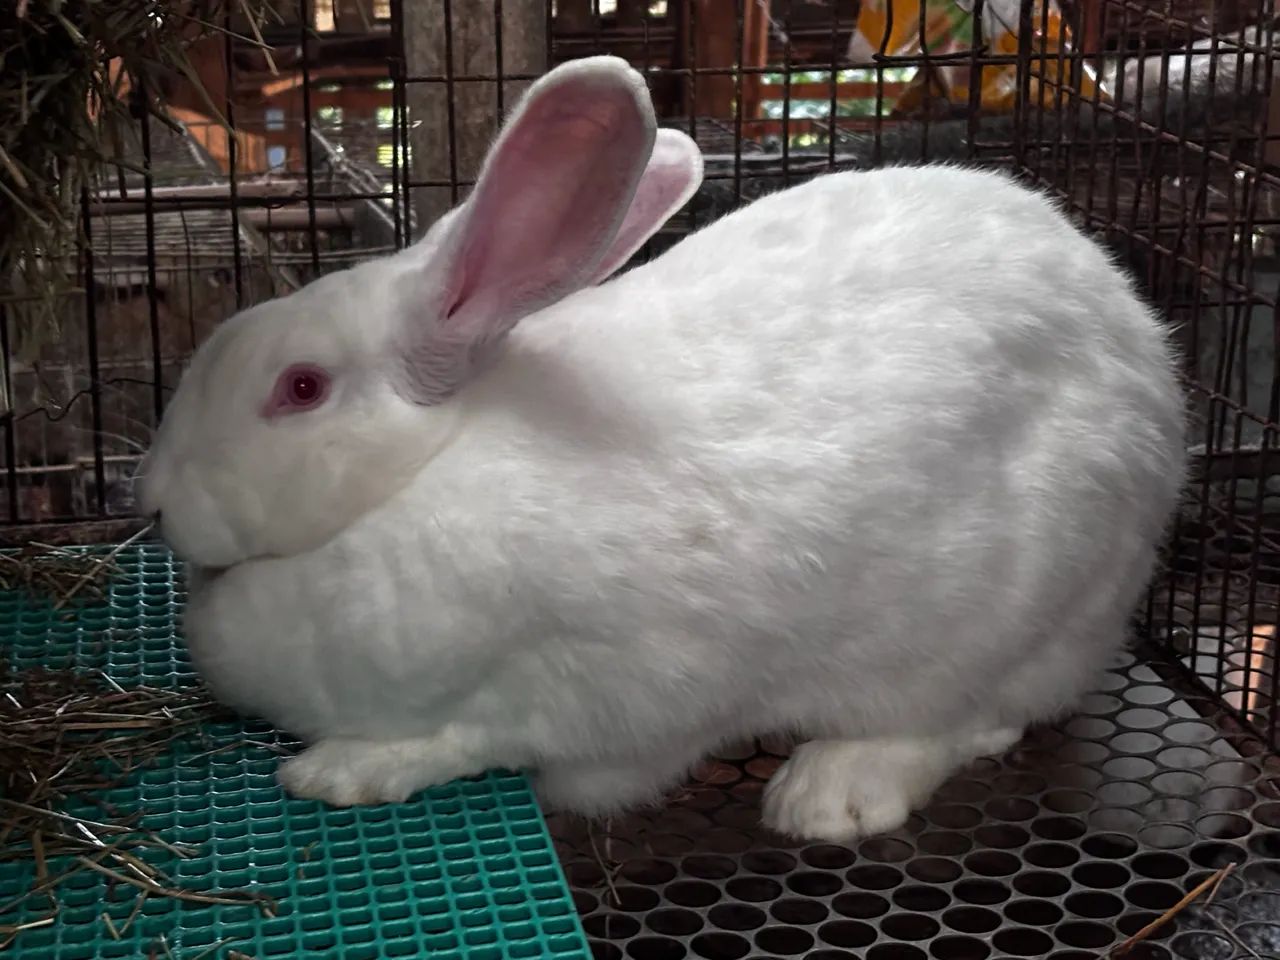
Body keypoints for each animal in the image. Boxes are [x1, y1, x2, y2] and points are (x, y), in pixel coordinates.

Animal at [136, 55, 1186, 842]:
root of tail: (1145, 354)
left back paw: (830, 792)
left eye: (300, 389)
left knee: (976, 717)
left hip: (1015, 617)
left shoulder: (591, 694)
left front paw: (344, 768)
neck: (418, 476)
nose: (150, 498)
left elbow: (478, 737)